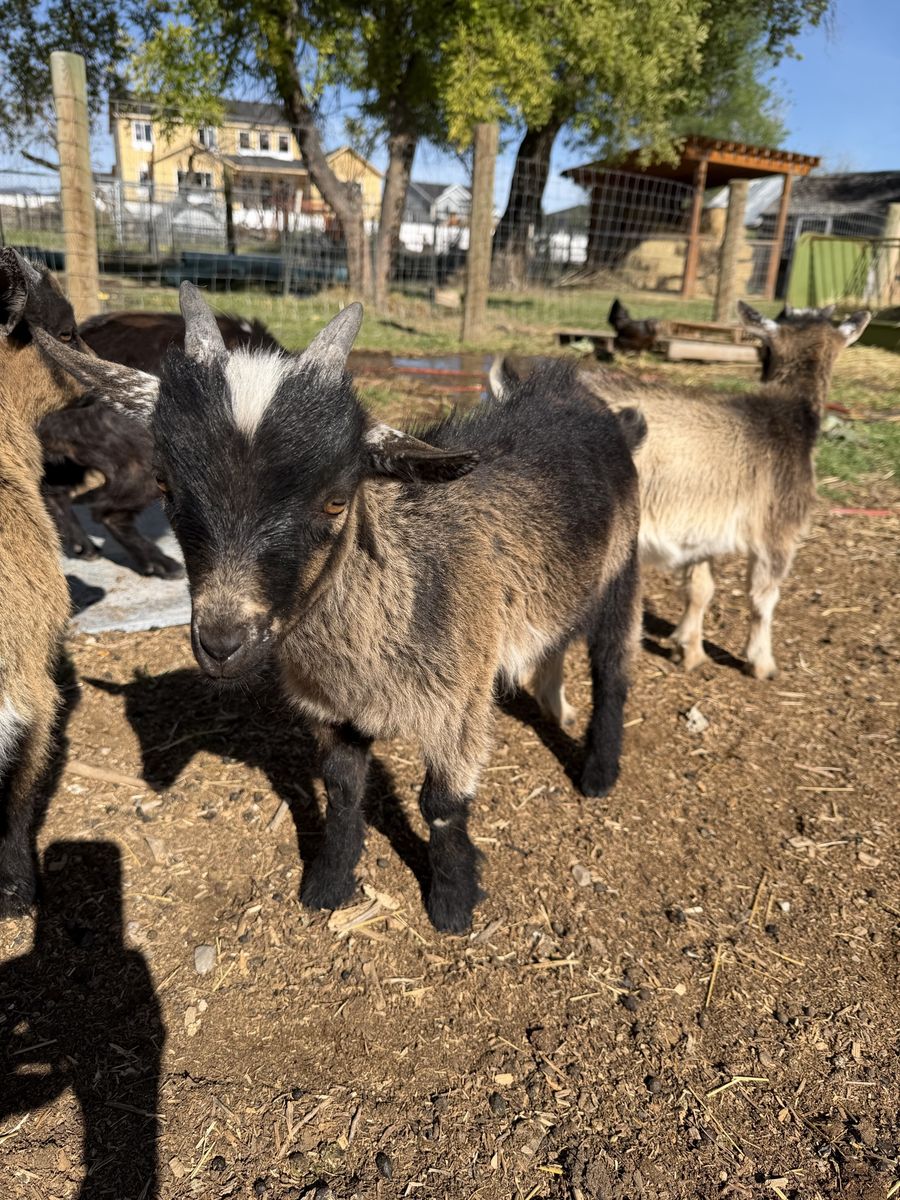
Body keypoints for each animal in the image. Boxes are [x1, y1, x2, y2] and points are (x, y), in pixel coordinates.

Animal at [41, 310, 282, 577]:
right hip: (144, 463)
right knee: (106, 511)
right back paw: (156, 562)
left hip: (70, 458)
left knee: (57, 492)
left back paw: (83, 545)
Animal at [493, 302, 870, 679]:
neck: (786, 414)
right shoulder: (777, 529)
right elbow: (763, 597)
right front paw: (762, 663)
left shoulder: (702, 532)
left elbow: (700, 588)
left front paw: (688, 649)